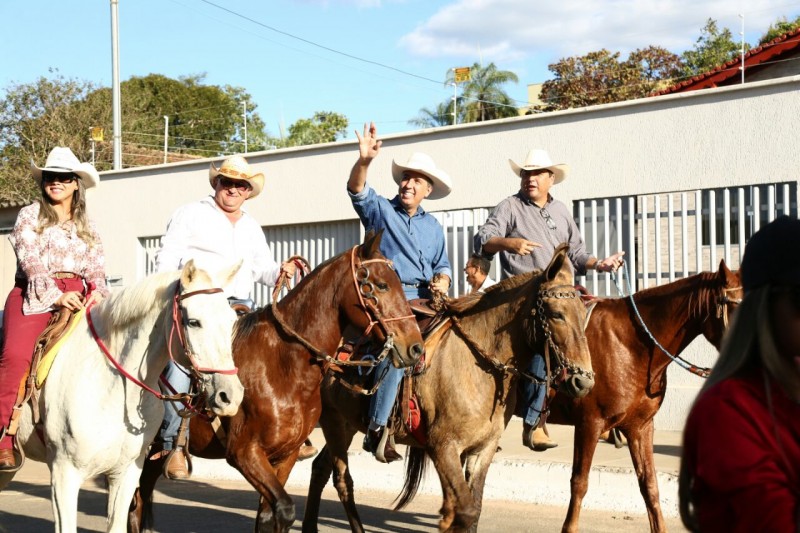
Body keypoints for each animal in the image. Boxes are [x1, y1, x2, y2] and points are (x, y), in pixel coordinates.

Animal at [3, 260, 244, 532]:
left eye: (232, 321)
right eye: (194, 322)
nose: (230, 395)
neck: (113, 387)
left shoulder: (126, 472)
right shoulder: (64, 474)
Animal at [128, 230, 424, 532]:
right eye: (380, 285)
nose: (415, 347)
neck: (282, 367)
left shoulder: (286, 455)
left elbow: (268, 517)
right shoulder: (245, 453)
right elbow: (284, 508)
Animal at [304, 242, 596, 532]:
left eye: (584, 315)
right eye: (556, 315)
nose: (584, 381)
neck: (479, 365)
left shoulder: (482, 450)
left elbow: (472, 509)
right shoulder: (443, 447)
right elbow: (464, 511)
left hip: (347, 424)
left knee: (320, 469)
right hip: (333, 422)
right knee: (341, 479)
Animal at [552, 260, 744, 532]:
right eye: (736, 308)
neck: (630, 345)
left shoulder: (640, 426)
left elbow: (649, 485)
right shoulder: (589, 423)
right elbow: (579, 483)